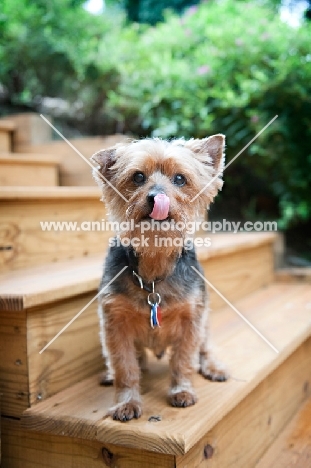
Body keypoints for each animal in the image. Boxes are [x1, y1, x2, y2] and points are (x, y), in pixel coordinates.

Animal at [91, 135, 228, 424]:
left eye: (180, 179)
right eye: (138, 177)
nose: (157, 198)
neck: (155, 261)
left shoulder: (191, 319)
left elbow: (184, 359)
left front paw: (182, 391)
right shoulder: (114, 323)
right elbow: (125, 366)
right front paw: (126, 402)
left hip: (205, 319)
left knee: (205, 348)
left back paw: (213, 367)